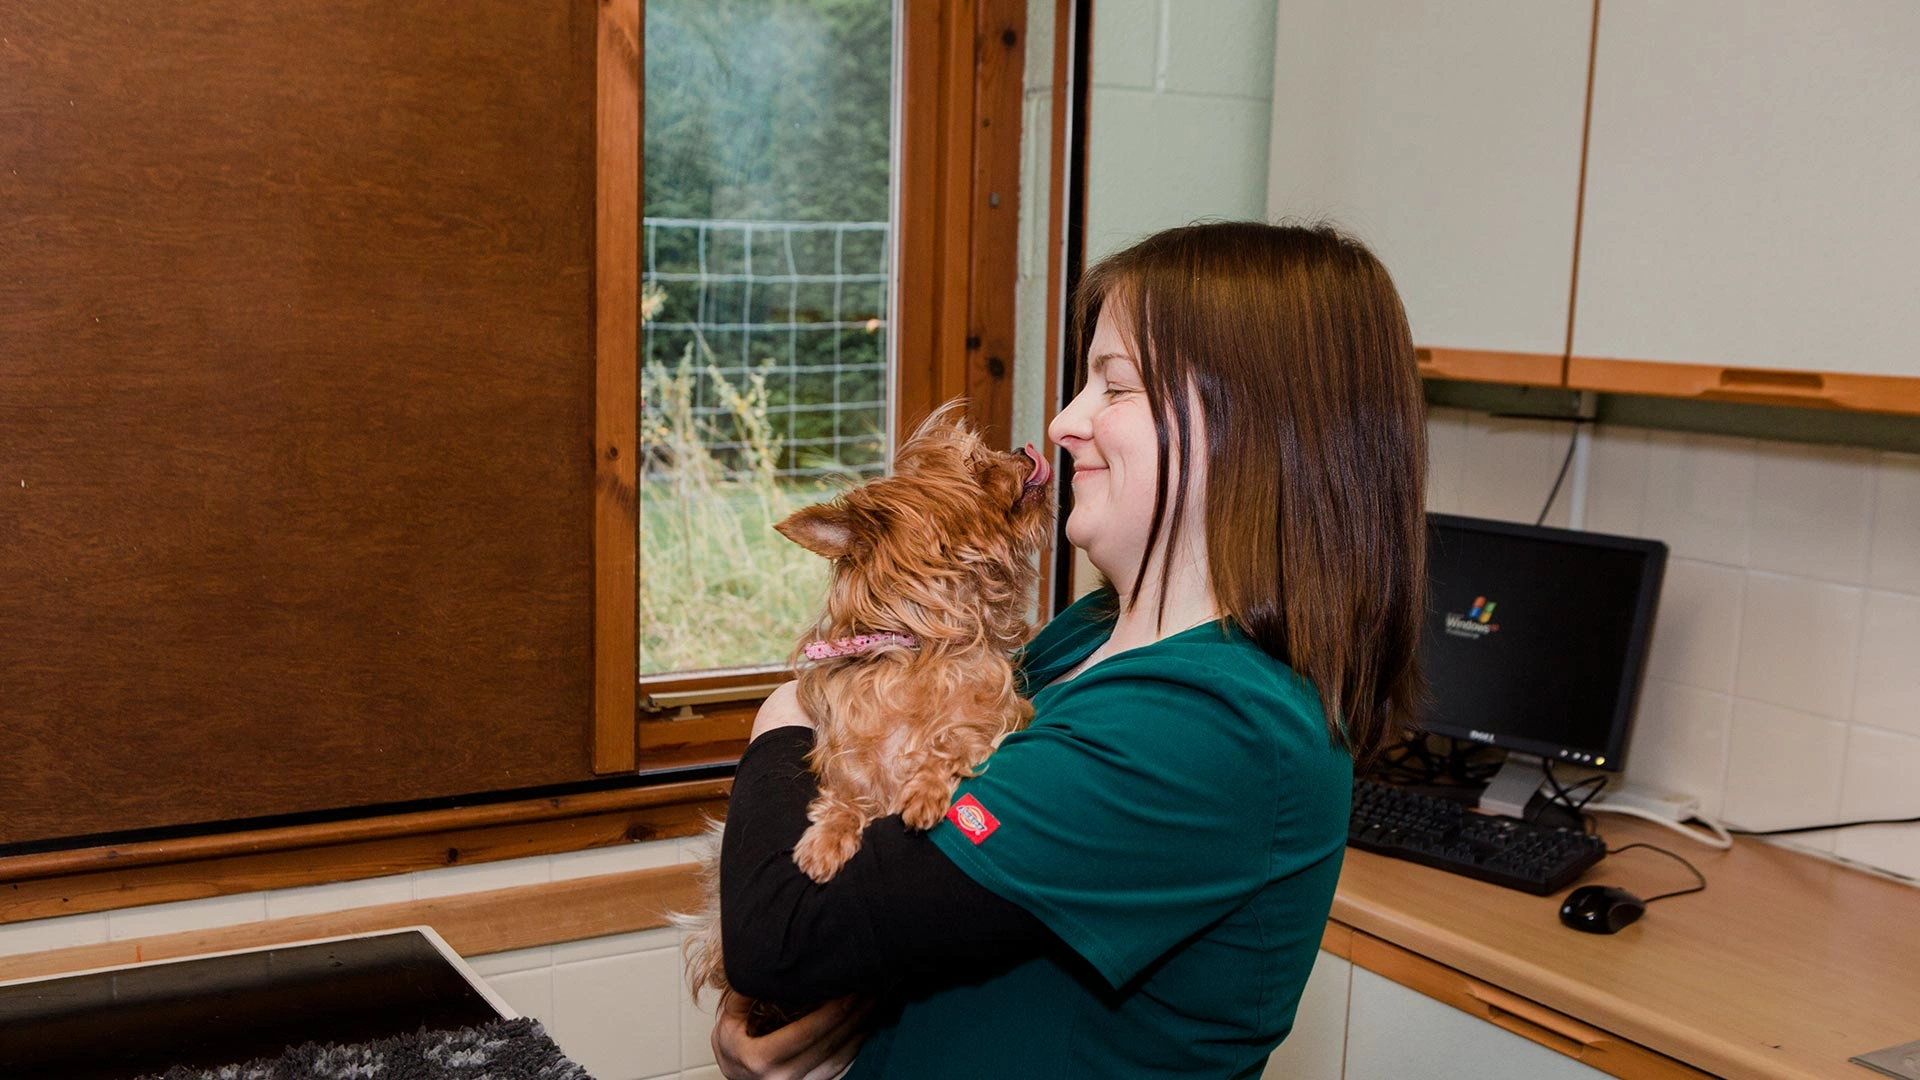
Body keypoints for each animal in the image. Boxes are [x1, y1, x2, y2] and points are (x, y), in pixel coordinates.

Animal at [683, 401, 1059, 1006]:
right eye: (975, 464)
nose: (1024, 452)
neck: (921, 649)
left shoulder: (996, 714)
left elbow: (953, 740)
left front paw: (925, 791)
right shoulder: (848, 749)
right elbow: (848, 790)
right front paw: (826, 839)